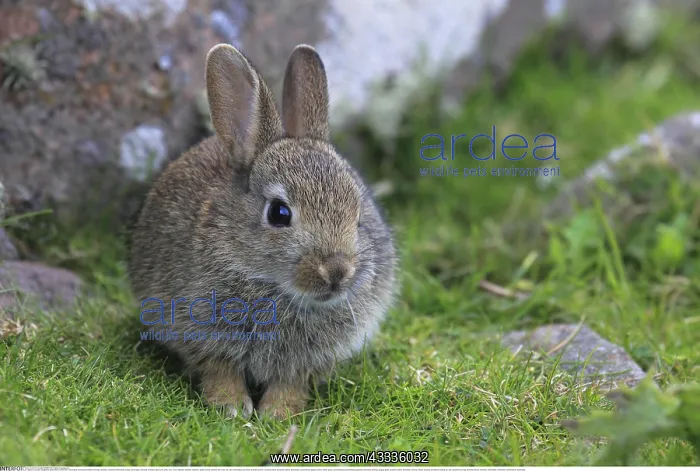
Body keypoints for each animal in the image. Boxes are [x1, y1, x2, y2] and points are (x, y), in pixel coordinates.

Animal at [127, 43, 398, 420]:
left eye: (358, 213)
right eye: (279, 213)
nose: (337, 272)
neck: (276, 288)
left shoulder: (308, 359)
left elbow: (292, 381)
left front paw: (277, 413)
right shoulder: (200, 332)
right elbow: (219, 369)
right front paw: (230, 407)